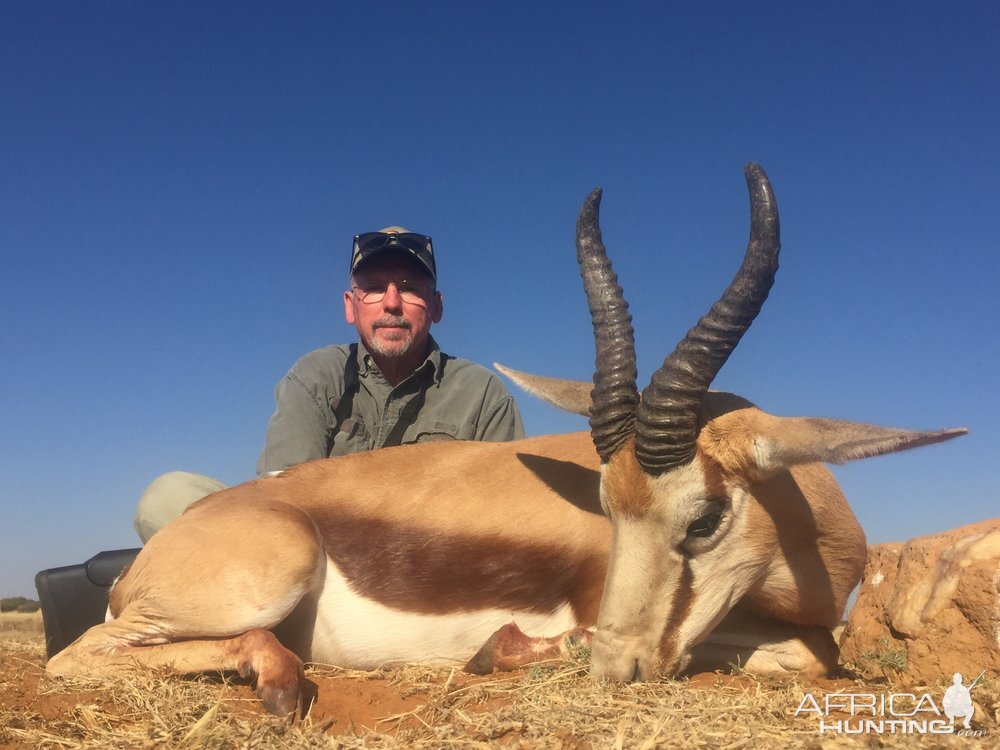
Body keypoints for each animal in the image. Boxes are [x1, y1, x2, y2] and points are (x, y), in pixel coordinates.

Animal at [47, 164, 960, 716]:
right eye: (606, 508)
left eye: (704, 518)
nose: (617, 671)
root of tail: (149, 558)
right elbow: (802, 655)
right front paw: (510, 649)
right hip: (263, 577)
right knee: (74, 658)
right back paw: (274, 679)